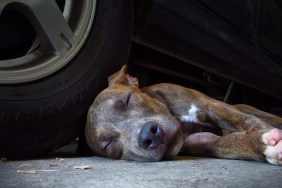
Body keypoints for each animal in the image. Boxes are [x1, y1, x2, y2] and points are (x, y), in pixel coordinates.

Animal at [85, 65, 282, 165]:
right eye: (109, 144)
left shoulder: (212, 106)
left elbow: (246, 120)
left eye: (128, 99)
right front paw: (263, 145)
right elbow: (229, 143)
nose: (148, 135)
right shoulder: (206, 141)